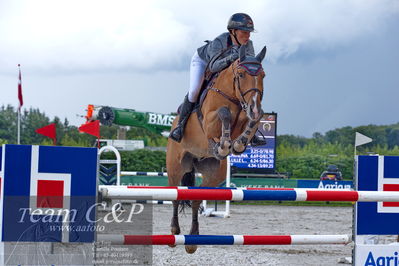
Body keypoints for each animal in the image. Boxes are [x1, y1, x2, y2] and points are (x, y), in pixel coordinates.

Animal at [167, 45, 268, 254]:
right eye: (241, 74)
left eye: (263, 75)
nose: (254, 106)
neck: (235, 97)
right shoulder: (210, 121)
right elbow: (224, 113)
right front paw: (223, 145)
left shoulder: (248, 113)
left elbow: (254, 119)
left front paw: (238, 143)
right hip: (175, 167)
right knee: (175, 196)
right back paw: (174, 233)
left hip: (214, 174)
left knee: (196, 200)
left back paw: (192, 241)